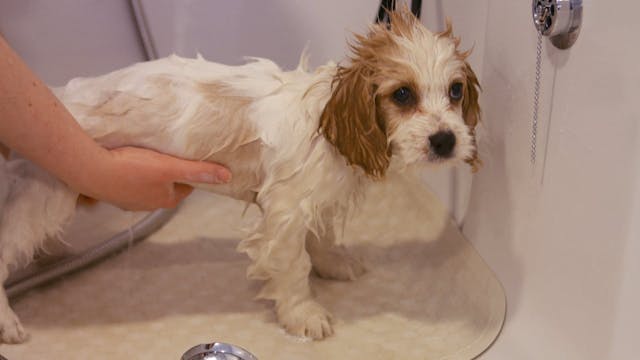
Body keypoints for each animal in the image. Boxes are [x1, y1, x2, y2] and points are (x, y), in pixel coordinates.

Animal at [0, 7, 480, 342]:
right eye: (402, 95)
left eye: (456, 91)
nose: (444, 140)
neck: (329, 125)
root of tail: (60, 97)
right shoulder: (284, 212)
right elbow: (293, 266)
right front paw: (303, 315)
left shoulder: (314, 200)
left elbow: (321, 237)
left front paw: (332, 263)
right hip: (49, 191)